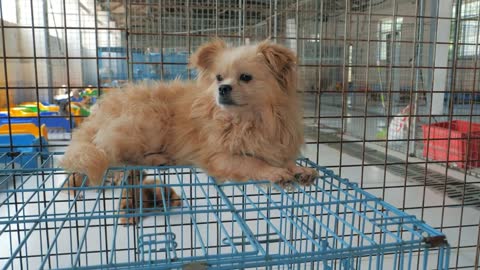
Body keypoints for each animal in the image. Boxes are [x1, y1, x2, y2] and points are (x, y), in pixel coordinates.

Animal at [61, 39, 318, 188]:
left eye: (246, 77)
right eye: (219, 78)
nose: (223, 88)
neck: (249, 120)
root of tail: (96, 114)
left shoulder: (274, 144)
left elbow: (283, 158)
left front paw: (298, 169)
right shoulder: (217, 156)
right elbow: (251, 161)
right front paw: (274, 172)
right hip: (151, 116)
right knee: (120, 156)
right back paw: (157, 159)